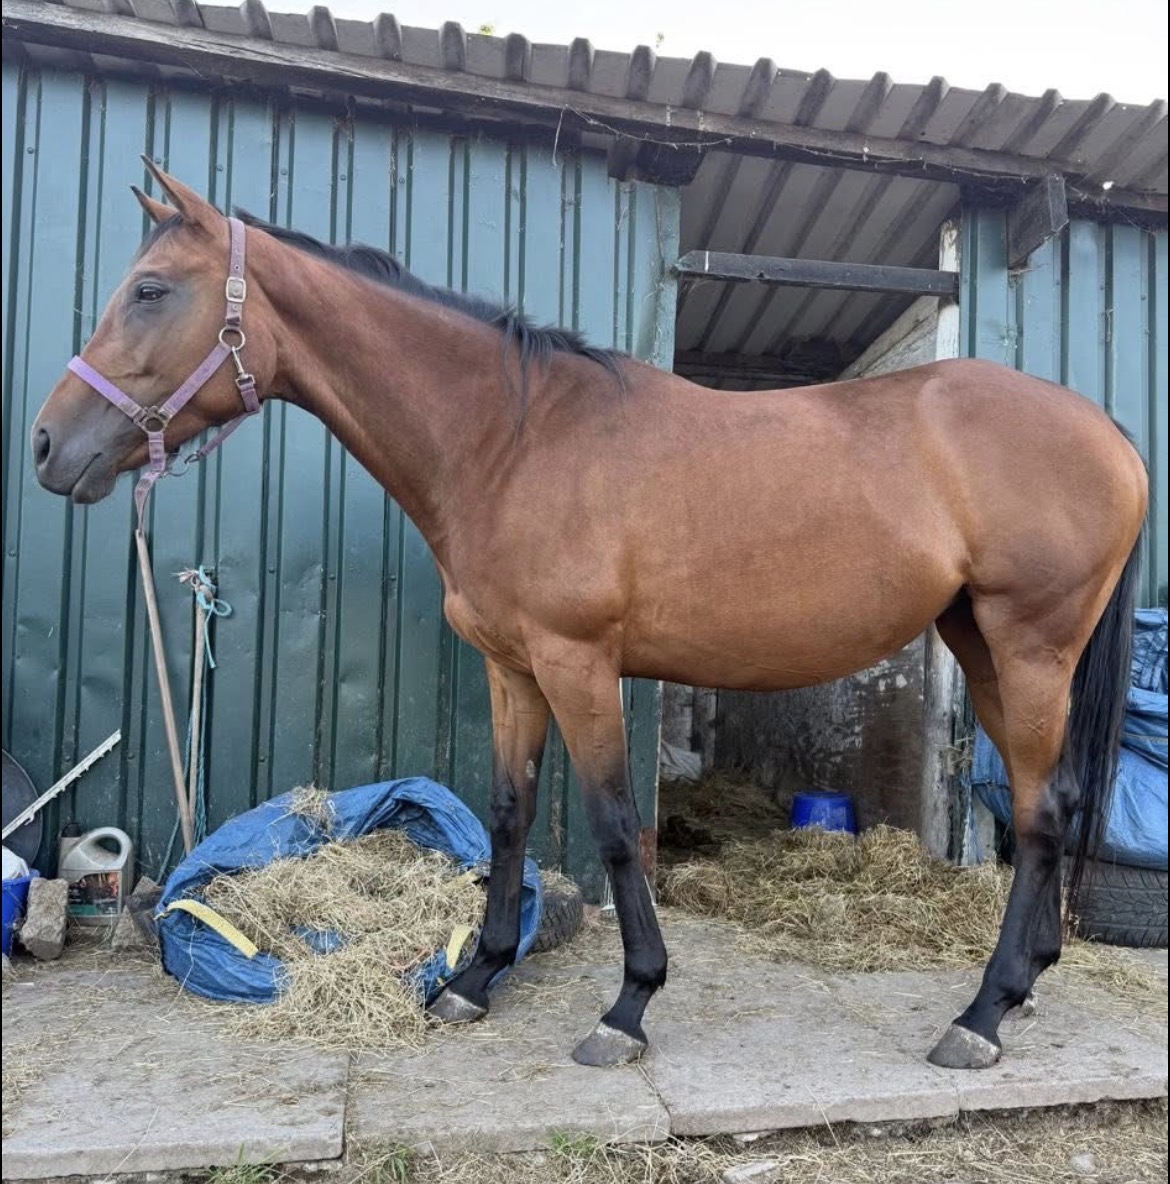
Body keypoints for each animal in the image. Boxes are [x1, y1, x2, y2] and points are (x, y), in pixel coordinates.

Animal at [31, 162, 1148, 1072]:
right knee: (1056, 800)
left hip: (1030, 644)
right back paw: (1027, 983)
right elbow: (510, 811)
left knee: (1040, 811)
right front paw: (475, 980)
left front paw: (628, 1006)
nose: (48, 446)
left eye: (149, 291)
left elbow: (611, 823)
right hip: (983, 644)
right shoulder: (513, 668)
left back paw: (982, 1014)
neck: (514, 439)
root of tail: (1105, 428)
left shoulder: (579, 663)